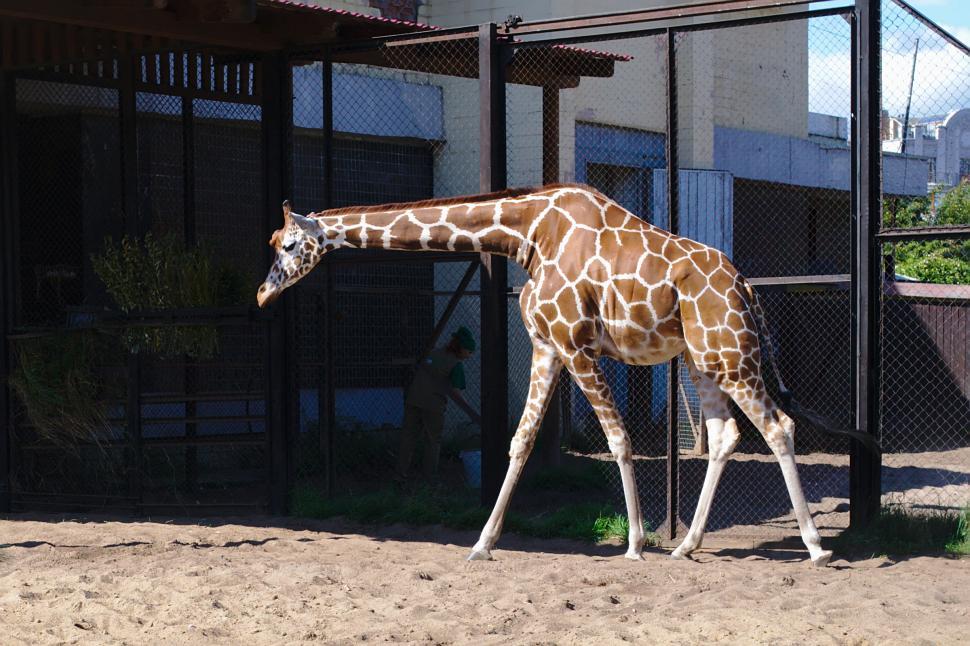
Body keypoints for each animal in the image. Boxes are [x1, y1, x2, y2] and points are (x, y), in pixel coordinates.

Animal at [257, 183, 834, 567]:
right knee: (725, 434)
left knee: (778, 426)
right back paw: (688, 545)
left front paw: (634, 543)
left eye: (289, 245)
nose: (263, 294)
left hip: (730, 356)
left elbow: (618, 438)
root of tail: (745, 285)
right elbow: (520, 440)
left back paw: (815, 546)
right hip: (704, 359)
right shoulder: (546, 346)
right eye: (275, 242)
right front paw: (483, 543)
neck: (527, 233)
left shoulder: (576, 345)